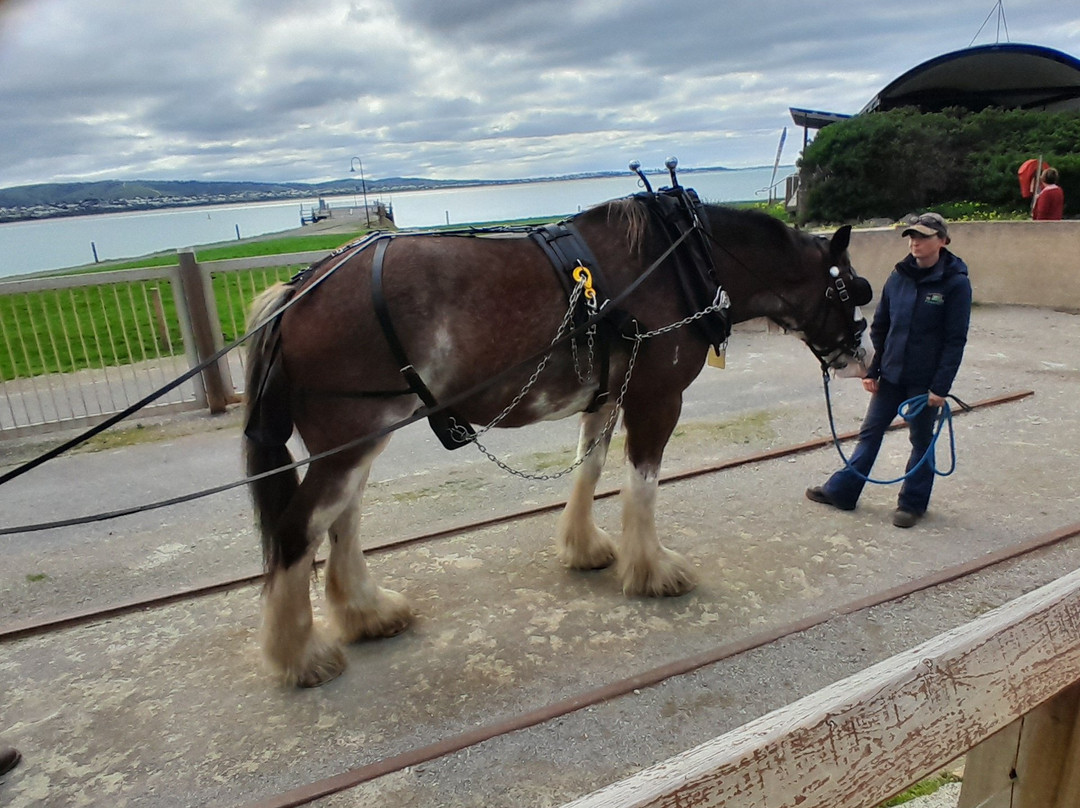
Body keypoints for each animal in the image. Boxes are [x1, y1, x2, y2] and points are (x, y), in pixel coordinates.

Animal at [242, 186, 872, 687]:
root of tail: (298, 291)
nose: (864, 356)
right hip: (353, 436)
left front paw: (585, 547)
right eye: (853, 290)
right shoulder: (658, 398)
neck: (683, 258)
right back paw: (301, 656)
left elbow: (590, 466)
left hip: (358, 440)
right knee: (299, 529)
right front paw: (654, 570)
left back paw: (366, 613)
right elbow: (642, 483)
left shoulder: (610, 396)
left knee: (342, 521)